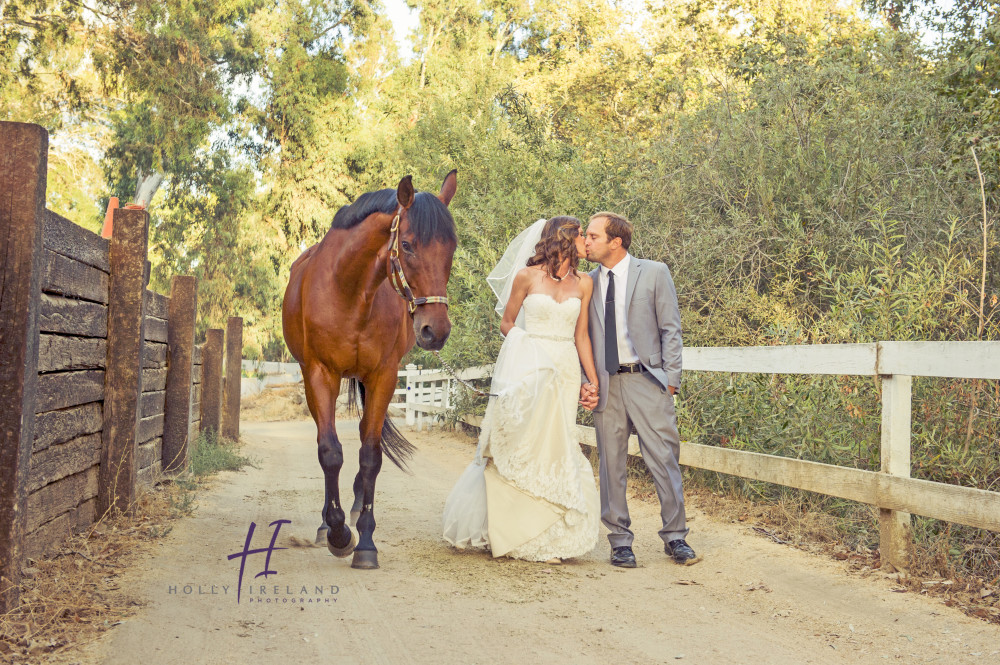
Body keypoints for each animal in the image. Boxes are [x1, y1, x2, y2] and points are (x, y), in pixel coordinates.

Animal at [278, 170, 458, 564]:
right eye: (407, 245)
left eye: (451, 248)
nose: (435, 330)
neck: (350, 292)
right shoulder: (319, 374)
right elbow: (330, 452)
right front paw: (338, 532)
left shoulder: (383, 376)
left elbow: (371, 455)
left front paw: (365, 542)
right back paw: (327, 523)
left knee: (364, 437)